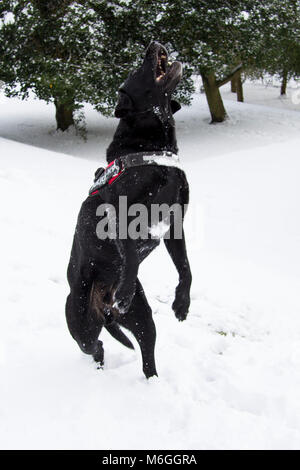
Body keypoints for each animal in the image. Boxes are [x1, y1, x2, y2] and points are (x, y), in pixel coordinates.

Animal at [65, 41, 192, 378]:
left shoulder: (175, 224)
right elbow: (132, 254)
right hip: (80, 322)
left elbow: (185, 267)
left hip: (142, 317)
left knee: (146, 354)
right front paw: (124, 292)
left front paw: (182, 304)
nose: (153, 43)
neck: (152, 150)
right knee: (95, 346)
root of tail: (105, 306)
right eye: (137, 69)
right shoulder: (120, 216)